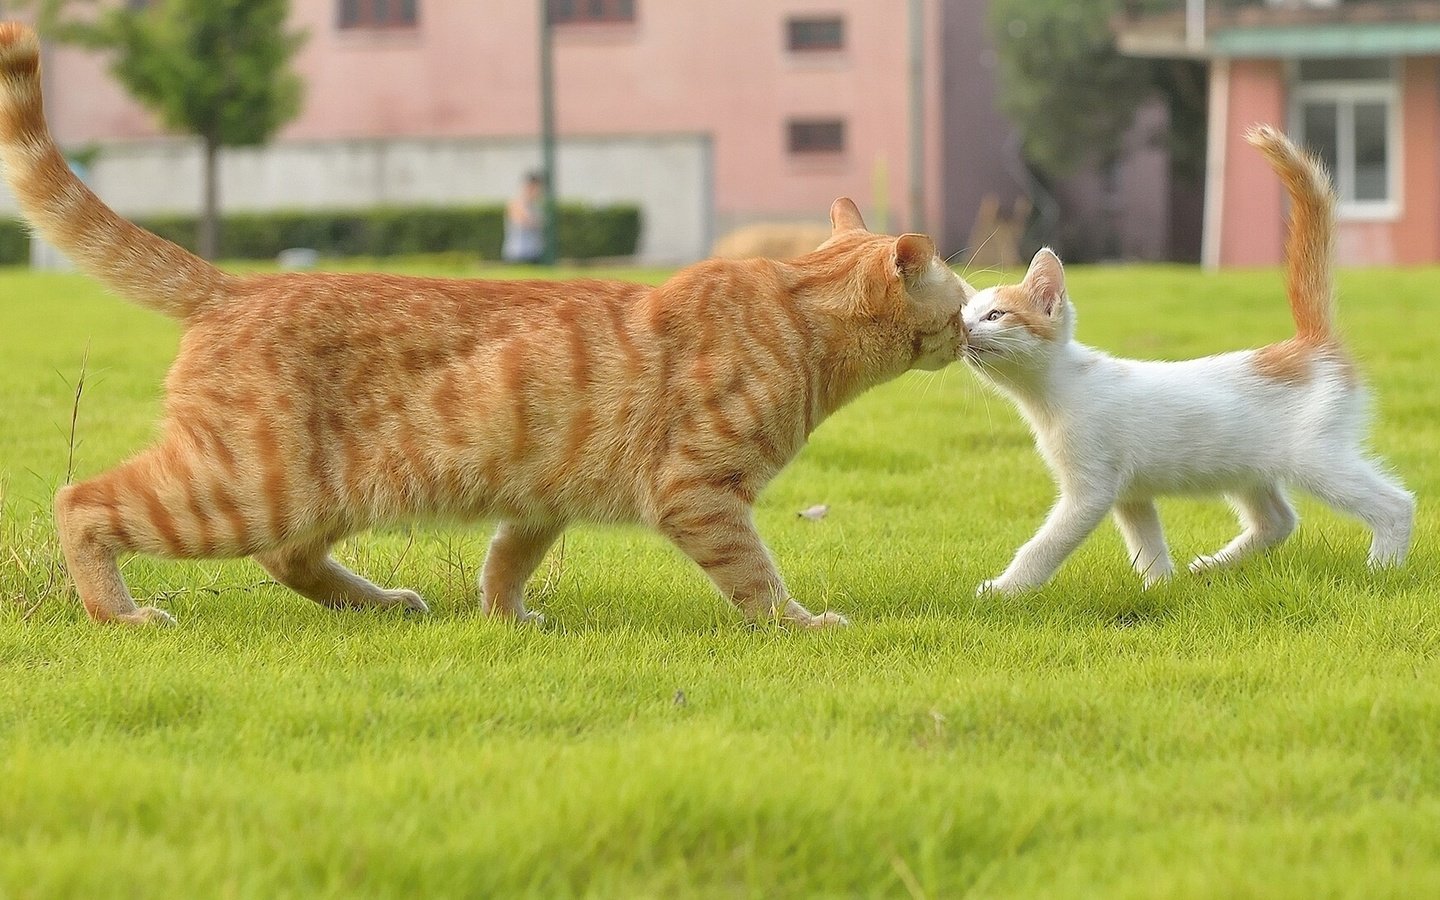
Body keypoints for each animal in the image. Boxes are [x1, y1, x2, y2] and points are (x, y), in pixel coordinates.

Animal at [0, 21, 973, 624]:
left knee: (290, 561)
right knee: (82, 503)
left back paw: (381, 603)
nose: (971, 331)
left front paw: (506, 618)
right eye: (962, 302)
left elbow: (508, 561)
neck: (798, 315)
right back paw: (123, 614)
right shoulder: (698, 491)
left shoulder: (540, 497)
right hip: (238, 488)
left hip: (314, 494)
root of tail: (234, 287)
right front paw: (804, 624)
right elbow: (758, 580)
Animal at [961, 123, 1411, 593]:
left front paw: (1004, 590)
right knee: (1278, 521)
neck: (1056, 390)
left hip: (1314, 455)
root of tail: (1308, 343)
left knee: (1396, 503)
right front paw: (1160, 588)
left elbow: (1045, 544)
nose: (964, 331)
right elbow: (1148, 546)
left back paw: (1383, 570)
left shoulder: (1092, 489)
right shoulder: (1131, 493)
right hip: (1246, 464)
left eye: (995, 315)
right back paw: (1212, 566)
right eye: (964, 316)